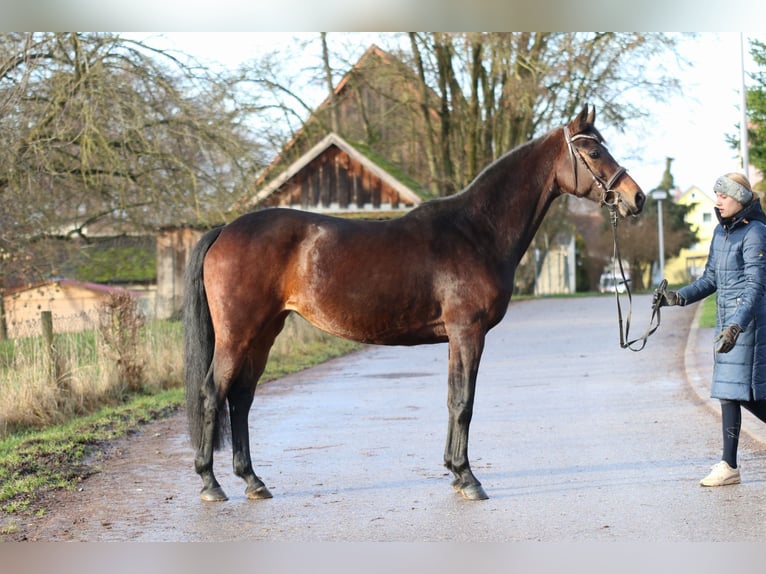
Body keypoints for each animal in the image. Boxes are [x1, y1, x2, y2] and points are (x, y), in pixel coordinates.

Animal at [183, 106, 644, 502]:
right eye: (594, 151)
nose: (635, 198)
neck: (477, 231)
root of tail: (225, 230)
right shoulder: (467, 332)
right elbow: (463, 402)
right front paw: (468, 478)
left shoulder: (457, 337)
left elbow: (453, 398)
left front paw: (455, 472)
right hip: (238, 334)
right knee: (213, 393)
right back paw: (210, 483)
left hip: (264, 333)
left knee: (242, 397)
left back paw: (253, 481)